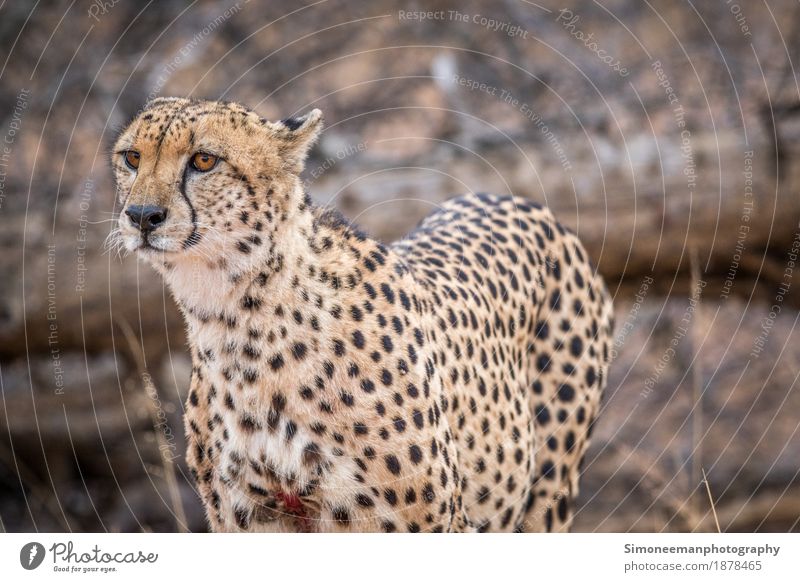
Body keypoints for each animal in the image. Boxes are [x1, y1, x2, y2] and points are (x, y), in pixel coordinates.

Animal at [111, 97, 612, 532]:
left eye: (203, 161)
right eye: (132, 157)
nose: (142, 215)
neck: (234, 322)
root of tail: (513, 200)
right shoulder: (251, 515)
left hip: (548, 494)